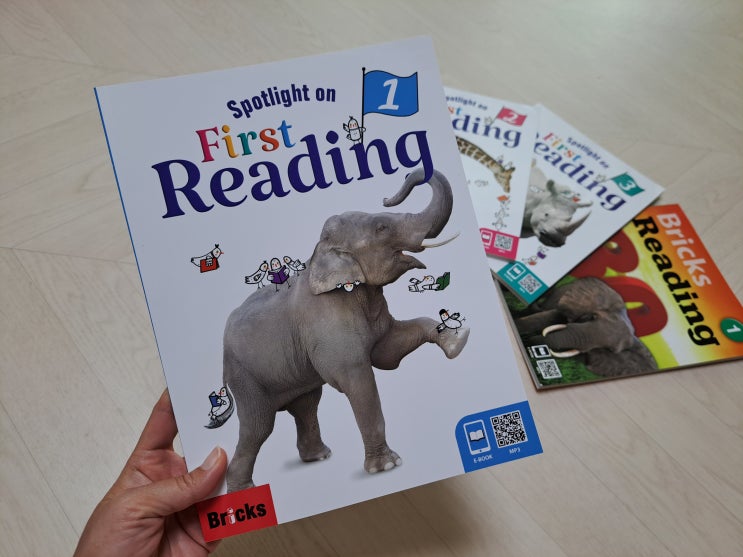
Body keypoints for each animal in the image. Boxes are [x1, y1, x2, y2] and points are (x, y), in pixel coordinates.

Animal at [219, 167, 469, 492]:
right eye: (382, 227)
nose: (387, 196)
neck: (321, 252)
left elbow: (387, 351)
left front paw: (457, 340)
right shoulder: (326, 318)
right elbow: (357, 377)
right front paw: (387, 467)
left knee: (306, 405)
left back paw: (318, 457)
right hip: (244, 375)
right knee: (258, 427)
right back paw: (244, 490)